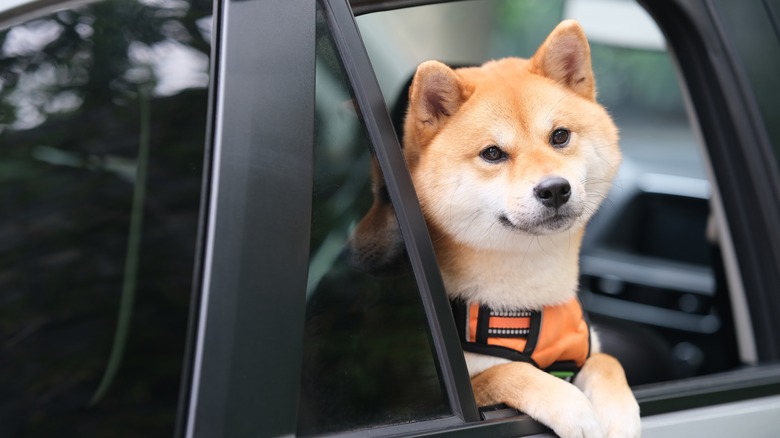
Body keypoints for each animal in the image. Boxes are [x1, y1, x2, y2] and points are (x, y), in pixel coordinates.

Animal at [348, 19, 640, 438]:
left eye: (560, 136)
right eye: (492, 153)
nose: (555, 189)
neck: (528, 300)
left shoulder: (585, 350)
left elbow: (607, 362)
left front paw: (619, 412)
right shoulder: (473, 381)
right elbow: (511, 372)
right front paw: (574, 409)